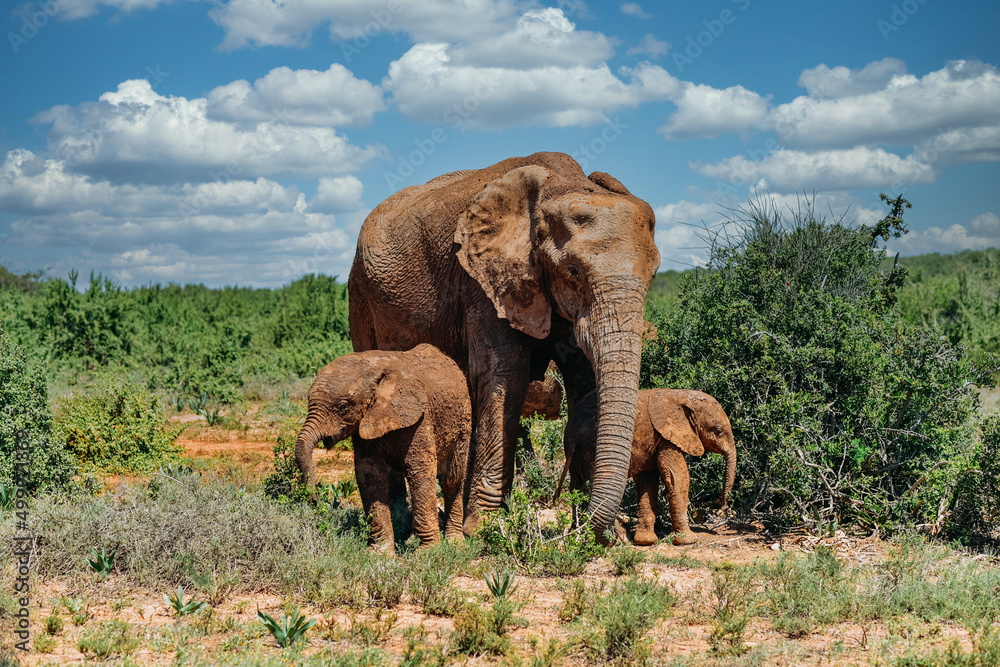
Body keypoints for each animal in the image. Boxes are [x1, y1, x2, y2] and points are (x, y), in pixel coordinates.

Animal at [294, 344, 471, 555]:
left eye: (343, 406)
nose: (313, 500)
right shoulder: (365, 425)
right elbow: (369, 476)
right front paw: (379, 554)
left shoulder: (420, 418)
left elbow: (421, 473)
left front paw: (427, 552)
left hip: (463, 421)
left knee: (451, 480)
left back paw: (455, 543)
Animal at [349, 152, 659, 542]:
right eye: (573, 271)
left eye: (653, 274)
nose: (590, 527)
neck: (564, 185)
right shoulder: (479, 281)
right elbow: (506, 375)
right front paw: (485, 528)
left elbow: (584, 379)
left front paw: (604, 534)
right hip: (360, 292)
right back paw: (404, 519)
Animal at [558, 388, 736, 546]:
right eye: (718, 431)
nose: (723, 508)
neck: (682, 395)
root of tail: (573, 432)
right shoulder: (667, 437)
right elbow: (678, 479)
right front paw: (688, 541)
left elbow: (648, 483)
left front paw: (645, 541)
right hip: (593, 449)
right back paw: (619, 539)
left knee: (576, 486)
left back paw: (577, 534)